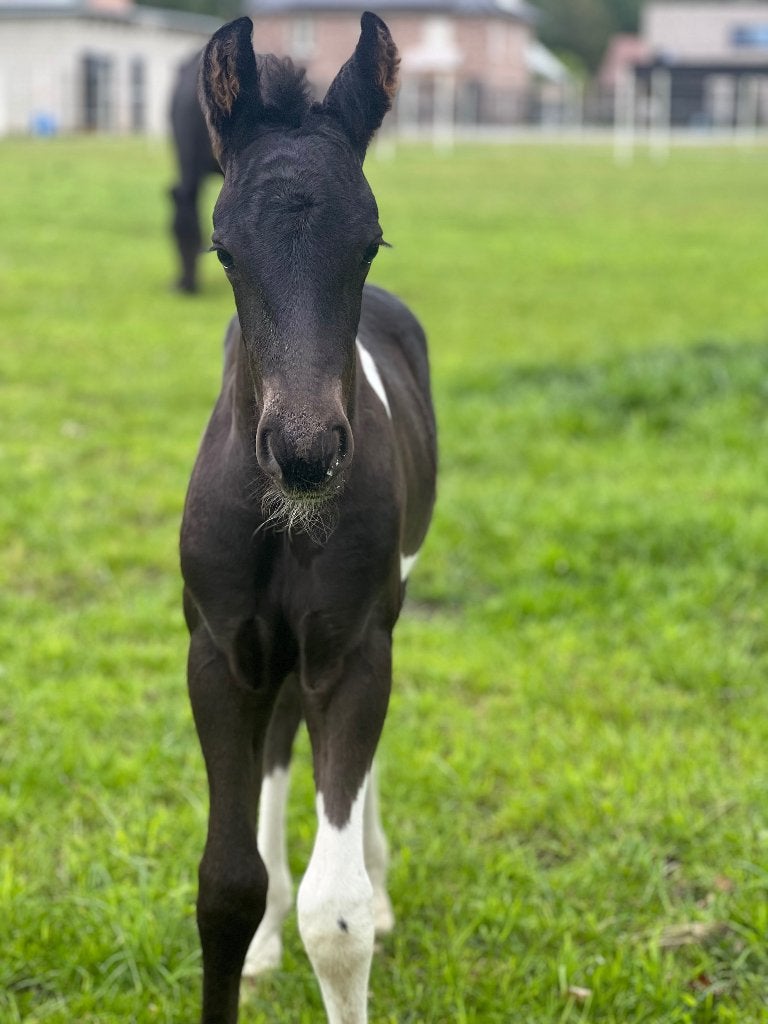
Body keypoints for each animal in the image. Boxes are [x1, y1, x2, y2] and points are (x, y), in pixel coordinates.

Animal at [179, 13, 437, 1024]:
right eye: (225, 250)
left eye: (370, 243)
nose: (304, 451)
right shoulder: (220, 652)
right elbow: (224, 886)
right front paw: (250, 939)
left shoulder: (353, 647)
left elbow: (338, 914)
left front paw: (357, 898)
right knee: (282, 745)